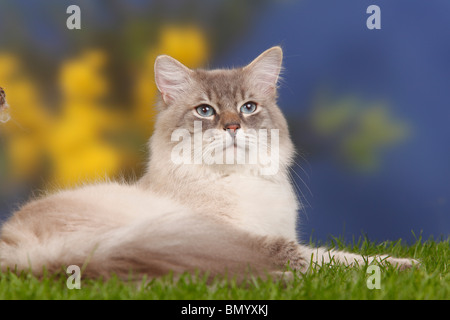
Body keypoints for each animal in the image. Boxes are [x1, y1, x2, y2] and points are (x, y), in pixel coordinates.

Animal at [0, 46, 414, 282]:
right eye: (205, 111)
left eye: (248, 107)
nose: (231, 126)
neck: (238, 182)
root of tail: (19, 250)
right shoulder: (232, 235)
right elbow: (322, 260)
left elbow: (344, 257)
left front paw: (404, 265)